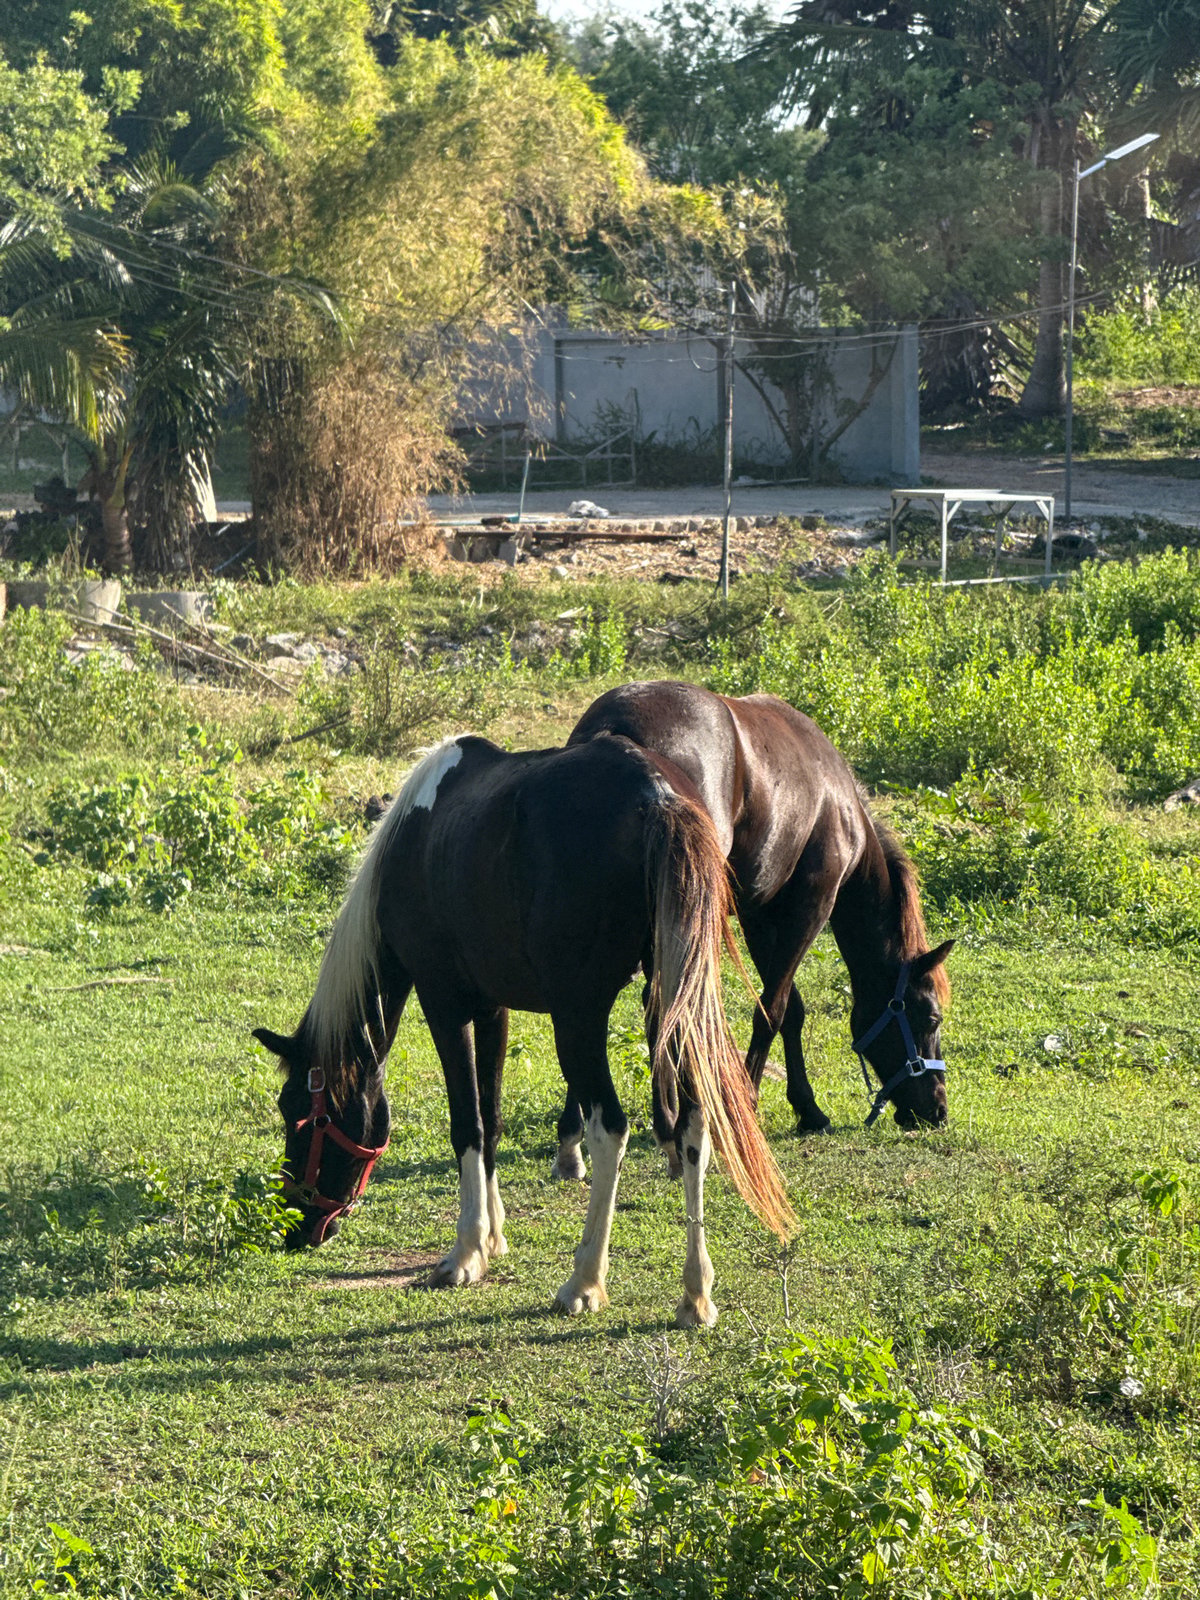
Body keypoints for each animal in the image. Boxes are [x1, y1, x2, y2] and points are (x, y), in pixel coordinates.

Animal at [253, 733, 792, 1328]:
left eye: (298, 1115)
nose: (294, 1228)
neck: (414, 840)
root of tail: (658, 794)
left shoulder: (444, 1004)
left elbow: (467, 1124)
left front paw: (466, 1252)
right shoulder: (493, 1010)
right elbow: (491, 1121)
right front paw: (492, 1237)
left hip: (578, 1019)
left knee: (610, 1130)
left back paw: (585, 1280)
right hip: (677, 1001)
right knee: (696, 1126)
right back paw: (695, 1294)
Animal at [551, 681, 953, 1179]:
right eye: (930, 1017)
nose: (937, 1109)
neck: (839, 806)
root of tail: (613, 730)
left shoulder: (759, 914)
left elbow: (792, 1009)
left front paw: (807, 1108)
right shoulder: (809, 907)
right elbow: (772, 1010)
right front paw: (748, 1101)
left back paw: (581, 1138)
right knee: (661, 1006)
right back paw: (673, 1125)